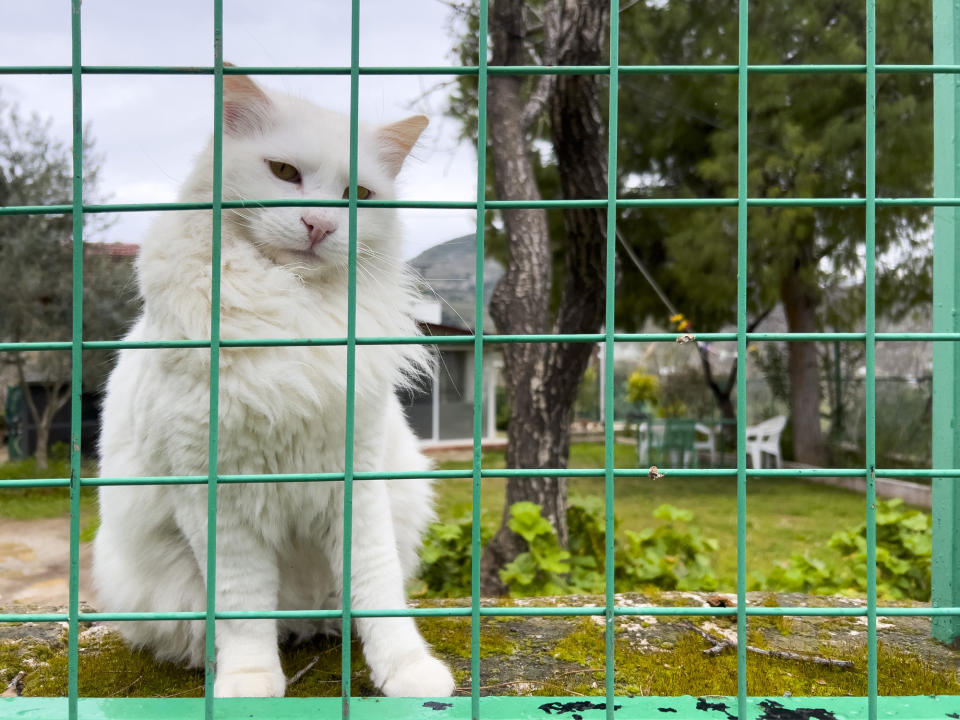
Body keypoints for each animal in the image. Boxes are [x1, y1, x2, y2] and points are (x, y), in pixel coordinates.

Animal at [94, 69, 458, 696]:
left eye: (359, 197)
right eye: (285, 173)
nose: (320, 225)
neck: (295, 308)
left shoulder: (357, 480)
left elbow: (378, 588)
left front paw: (410, 675)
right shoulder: (220, 496)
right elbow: (243, 608)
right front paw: (249, 682)